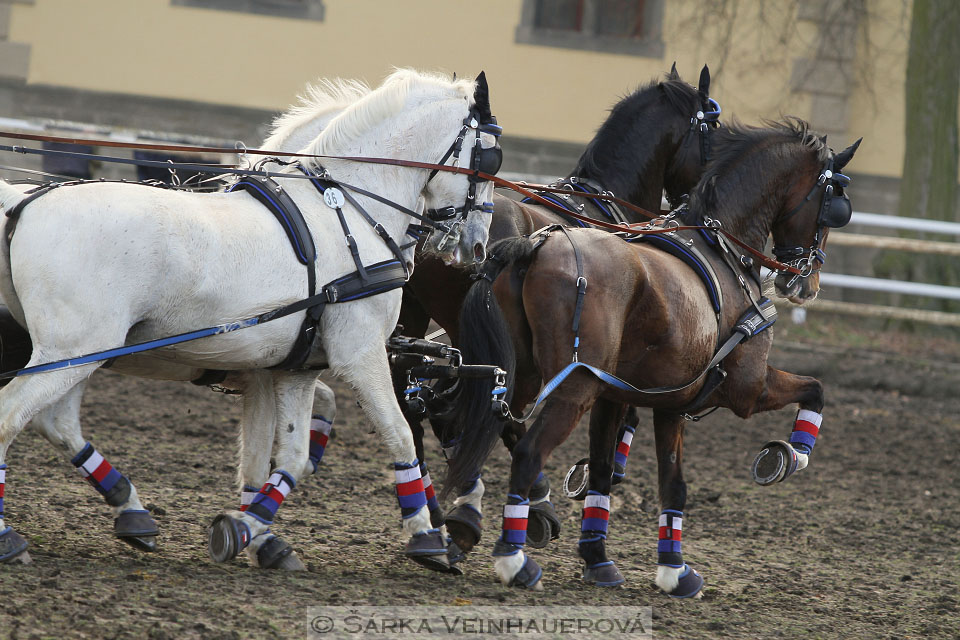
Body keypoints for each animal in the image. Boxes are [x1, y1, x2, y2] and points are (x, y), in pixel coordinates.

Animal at [0, 70, 502, 568]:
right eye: (491, 160)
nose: (477, 245)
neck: (346, 211)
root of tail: (27, 203)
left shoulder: (292, 368)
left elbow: (284, 456)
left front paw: (247, 529)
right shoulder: (360, 355)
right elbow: (398, 436)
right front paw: (425, 536)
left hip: (82, 355)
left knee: (56, 422)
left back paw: (131, 511)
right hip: (72, 353)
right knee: (11, 417)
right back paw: (12, 536)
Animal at [448, 121, 864, 596]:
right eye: (834, 205)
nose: (807, 284)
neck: (721, 244)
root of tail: (533, 247)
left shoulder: (656, 402)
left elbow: (654, 480)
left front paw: (648, 565)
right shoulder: (747, 388)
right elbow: (816, 390)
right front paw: (790, 455)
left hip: (517, 379)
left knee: (482, 428)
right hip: (572, 390)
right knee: (527, 453)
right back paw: (513, 560)